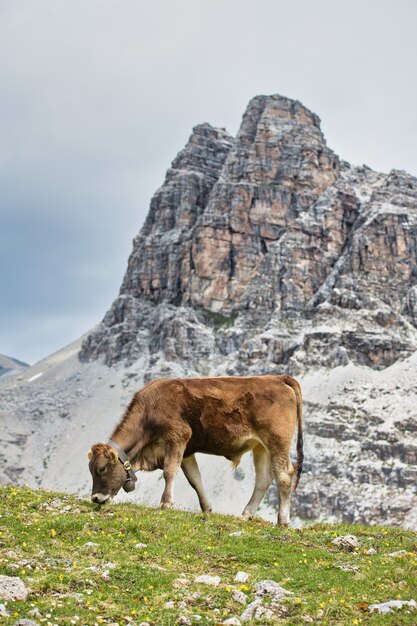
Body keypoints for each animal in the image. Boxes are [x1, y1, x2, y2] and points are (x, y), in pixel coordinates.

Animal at [88, 372, 302, 524]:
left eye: (102, 468)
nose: (95, 498)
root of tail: (278, 378)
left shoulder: (178, 436)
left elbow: (169, 471)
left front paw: (165, 504)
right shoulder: (187, 452)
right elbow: (195, 479)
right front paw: (207, 509)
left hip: (277, 441)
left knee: (284, 475)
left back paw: (282, 521)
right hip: (261, 447)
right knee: (264, 478)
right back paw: (246, 514)